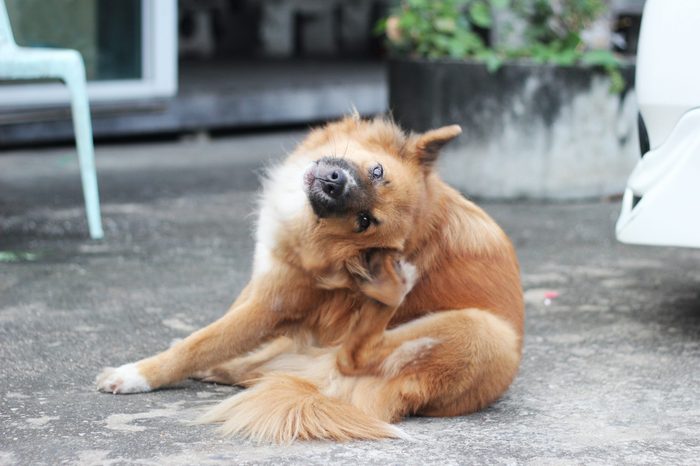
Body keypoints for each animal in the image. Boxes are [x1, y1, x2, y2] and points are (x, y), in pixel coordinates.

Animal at [98, 114, 524, 442]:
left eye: (364, 221)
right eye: (377, 171)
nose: (334, 181)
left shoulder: (271, 305)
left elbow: (199, 344)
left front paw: (138, 374)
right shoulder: (264, 276)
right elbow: (216, 333)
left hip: (484, 331)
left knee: (353, 357)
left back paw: (390, 295)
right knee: (267, 366)